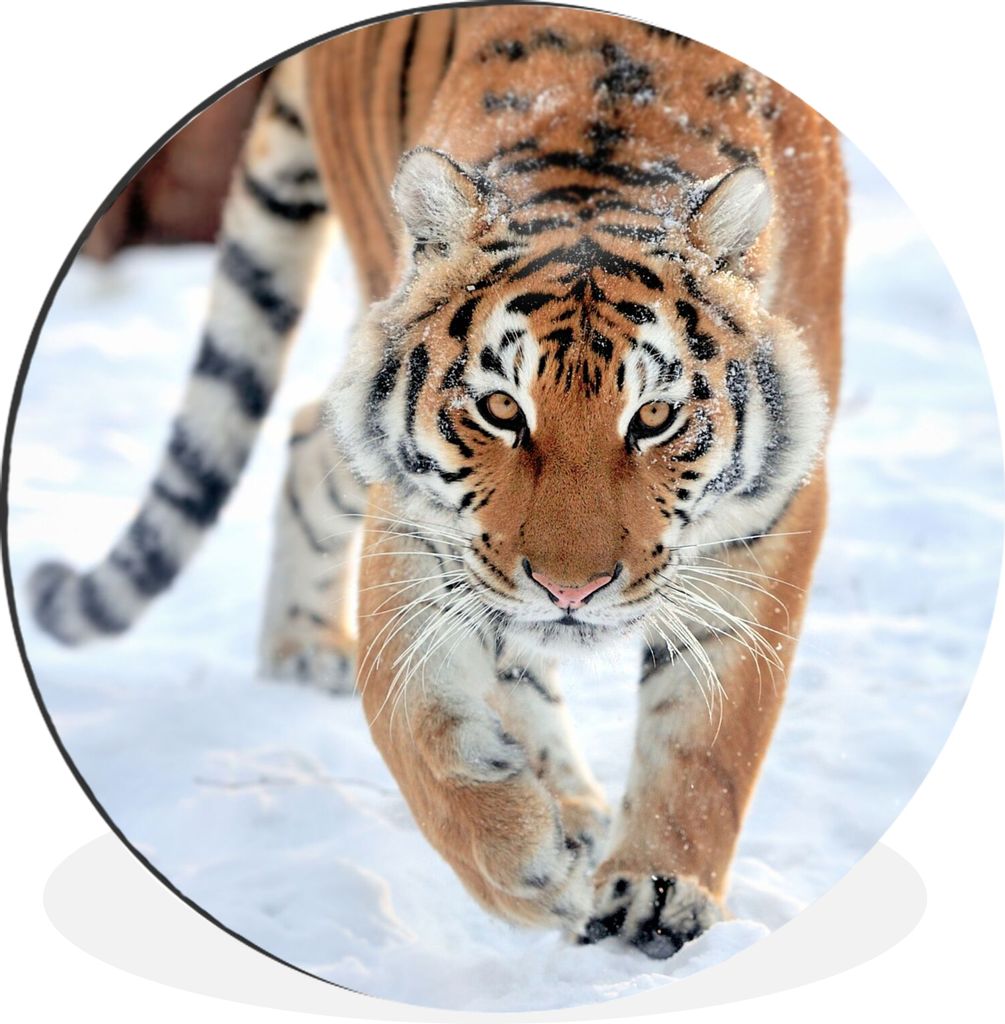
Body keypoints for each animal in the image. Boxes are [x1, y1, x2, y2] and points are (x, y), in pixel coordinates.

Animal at [27, 5, 846, 958]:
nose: (571, 590)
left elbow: (708, 737)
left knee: (308, 437)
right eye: (499, 409)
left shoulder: (775, 510)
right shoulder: (421, 522)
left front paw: (655, 892)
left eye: (651, 417)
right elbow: (415, 721)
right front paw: (528, 867)